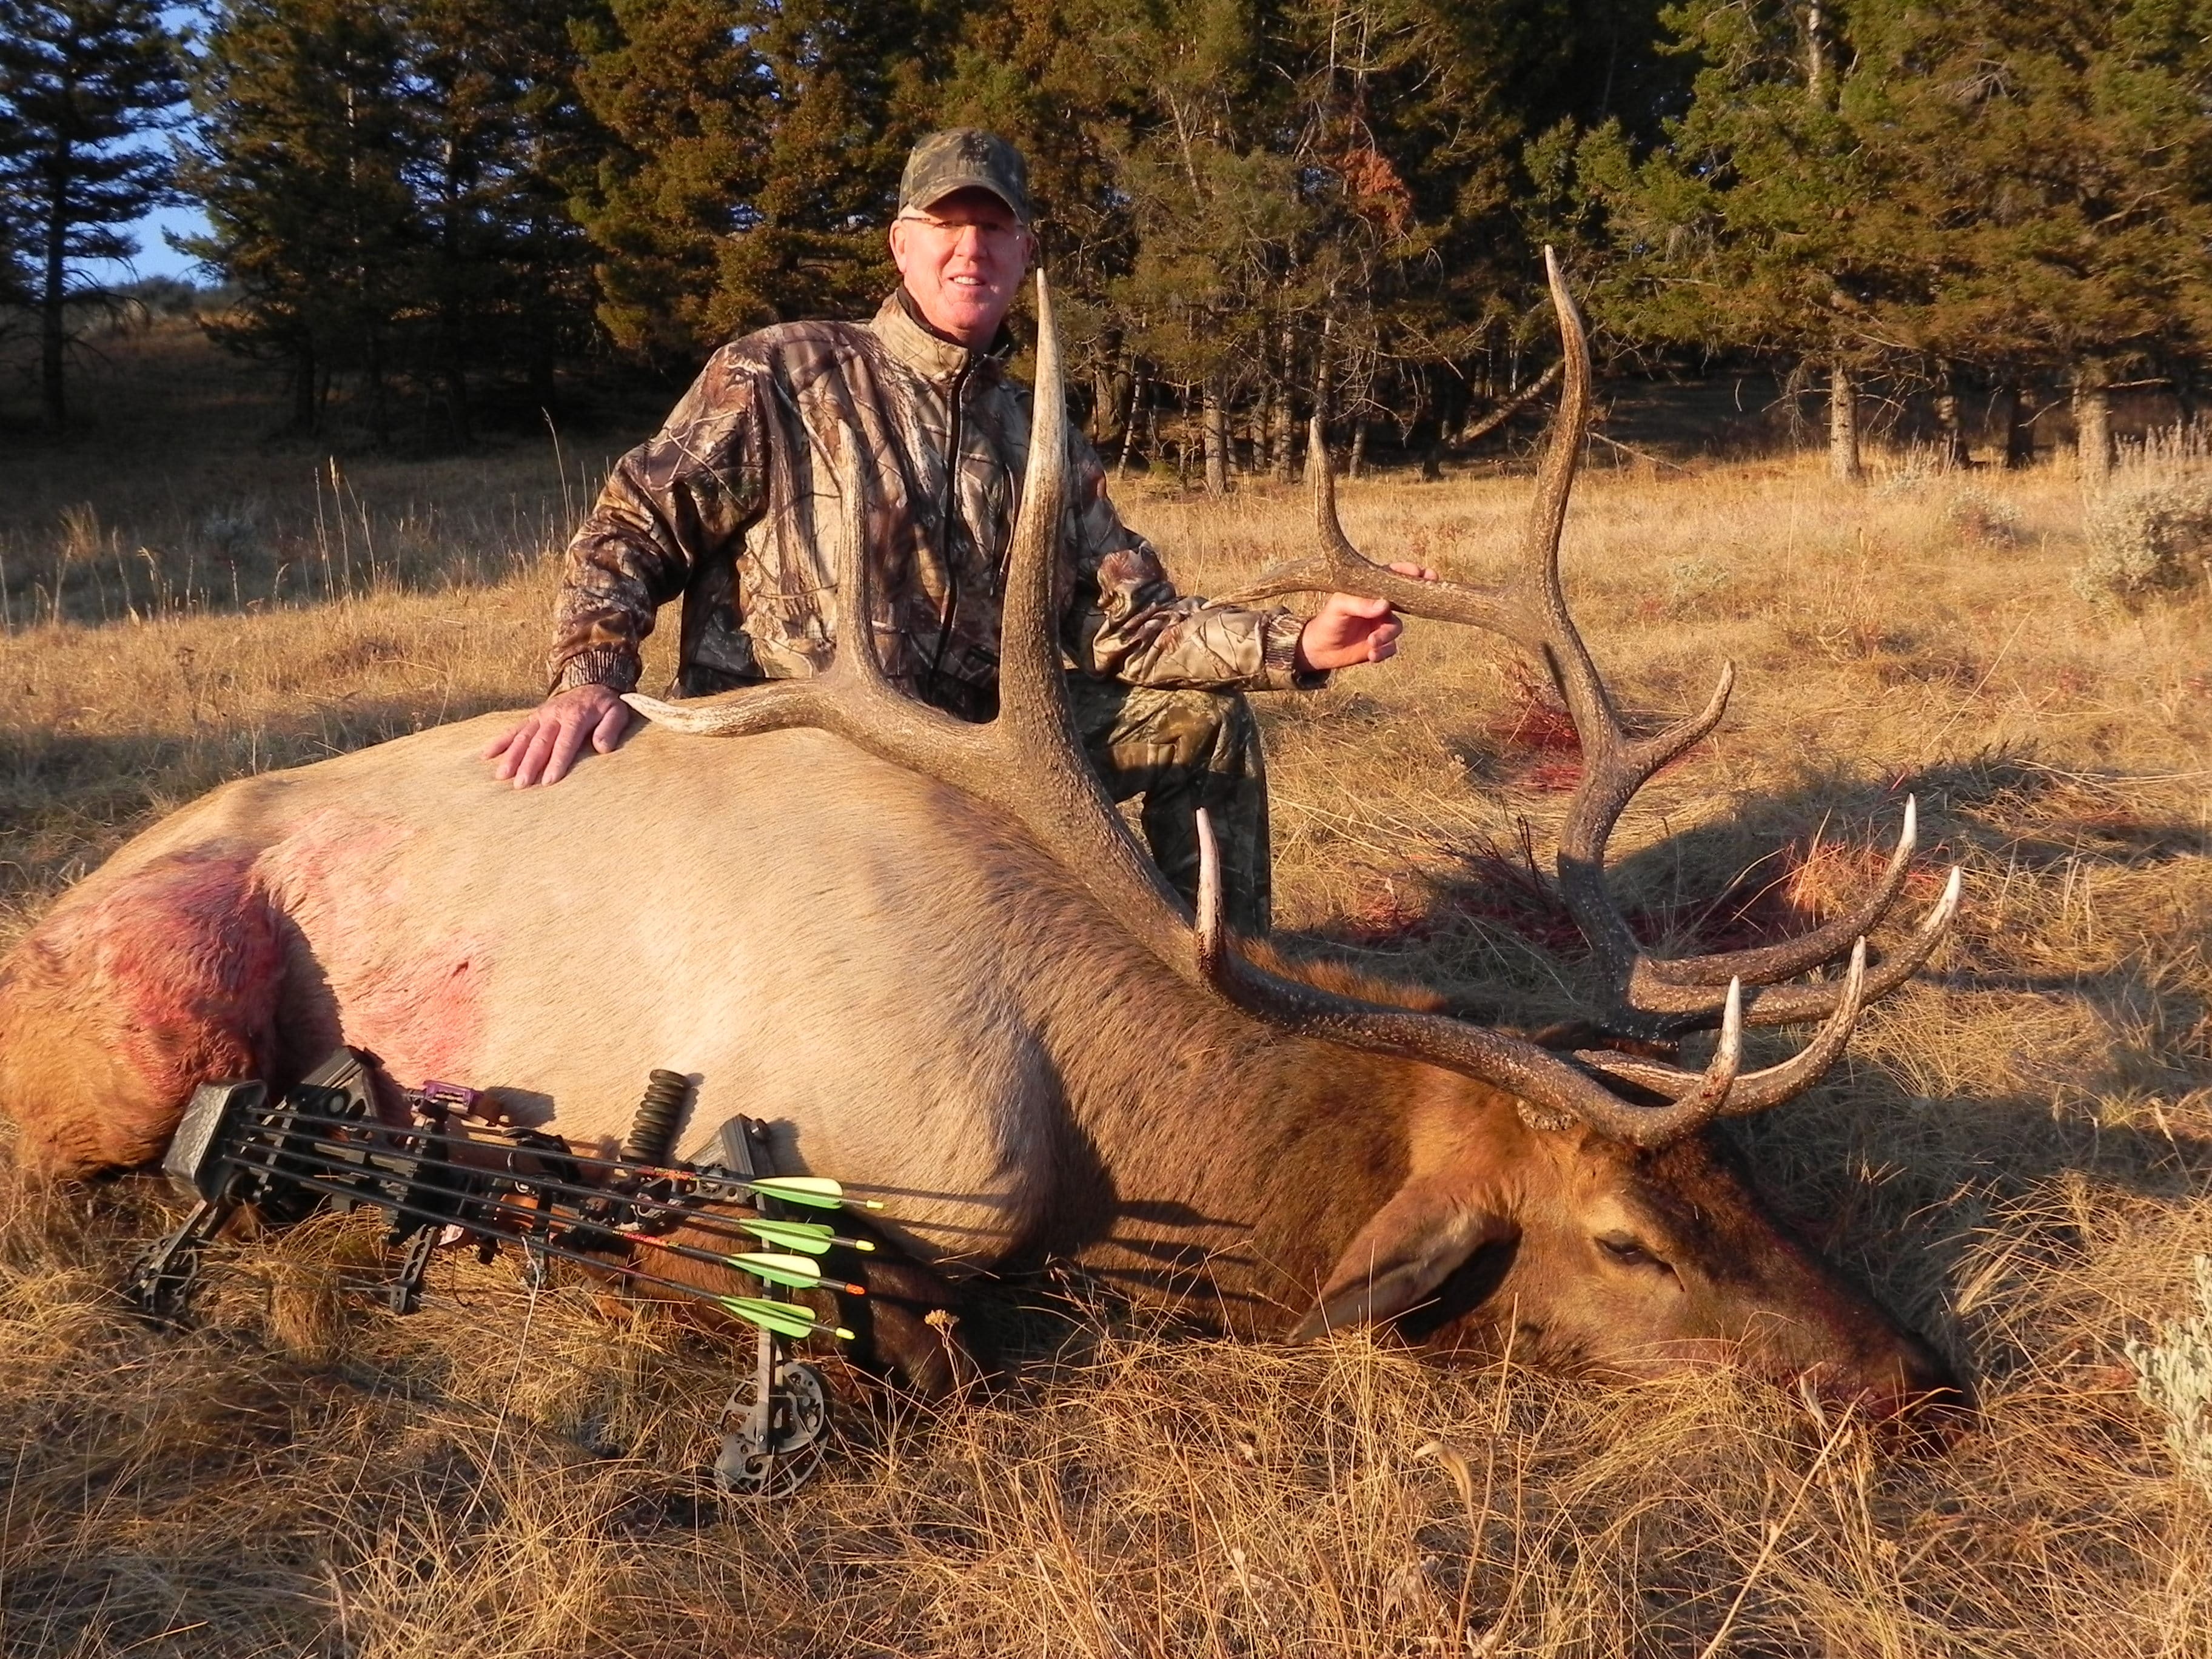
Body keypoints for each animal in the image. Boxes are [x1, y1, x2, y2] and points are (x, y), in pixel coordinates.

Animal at [0, 255, 1964, 1414]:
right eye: (1626, 1243)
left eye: (1745, 1180)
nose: (1914, 1380)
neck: (1109, 1135)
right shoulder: (793, 1164)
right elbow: (907, 1339)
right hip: (153, 1013)